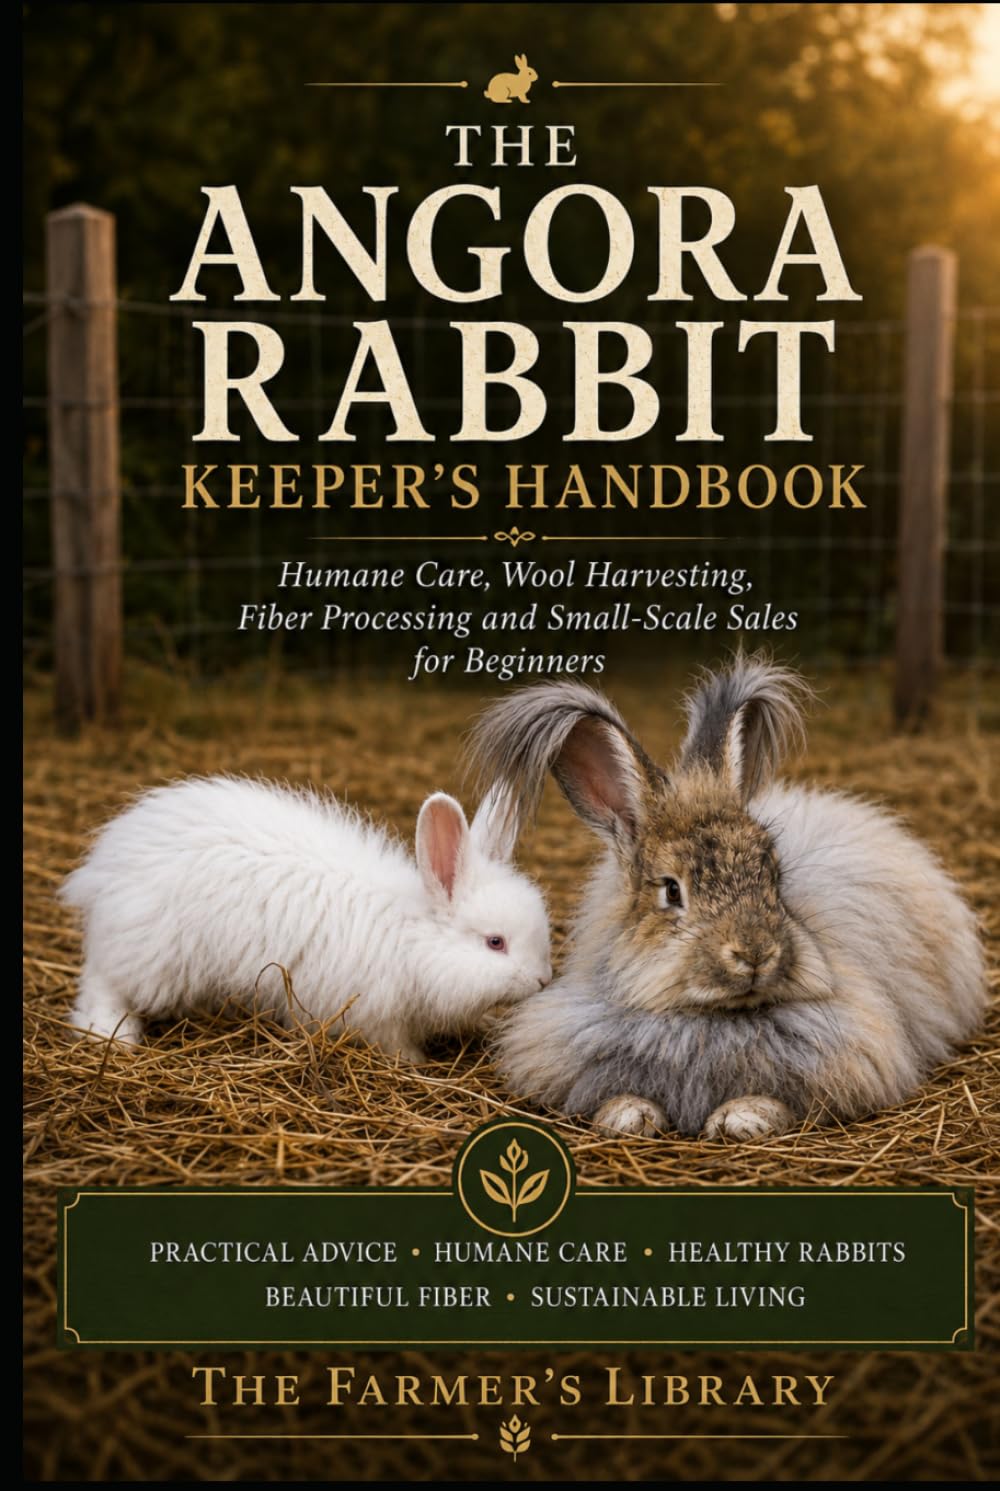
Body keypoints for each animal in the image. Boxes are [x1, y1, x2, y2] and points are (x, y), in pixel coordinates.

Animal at [59, 777, 552, 1062]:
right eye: (495, 942)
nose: (544, 980)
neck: (411, 936)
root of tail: (107, 862)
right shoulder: (375, 1013)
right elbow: (396, 1045)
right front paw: (417, 1064)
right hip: (153, 955)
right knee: (103, 981)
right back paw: (113, 1033)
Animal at [468, 655, 986, 1139]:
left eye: (774, 875)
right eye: (671, 890)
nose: (754, 953)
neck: (711, 1017)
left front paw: (738, 1119)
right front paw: (629, 1116)